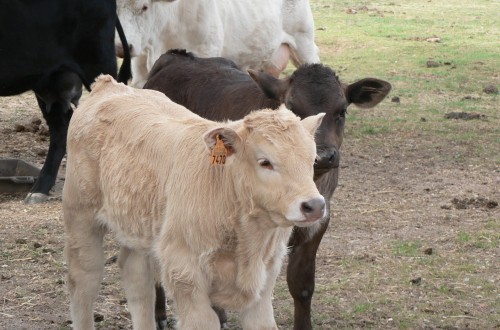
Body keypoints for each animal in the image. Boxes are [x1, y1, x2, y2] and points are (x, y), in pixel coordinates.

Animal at [62, 75, 326, 330]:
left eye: (312, 159)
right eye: (265, 162)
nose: (314, 205)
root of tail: (108, 85)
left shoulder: (266, 274)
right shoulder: (184, 271)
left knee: (137, 278)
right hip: (80, 215)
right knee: (84, 278)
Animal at [143, 49, 392, 330]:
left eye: (342, 110)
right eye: (293, 108)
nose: (324, 156)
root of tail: (177, 57)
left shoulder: (319, 221)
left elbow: (302, 285)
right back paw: (159, 314)